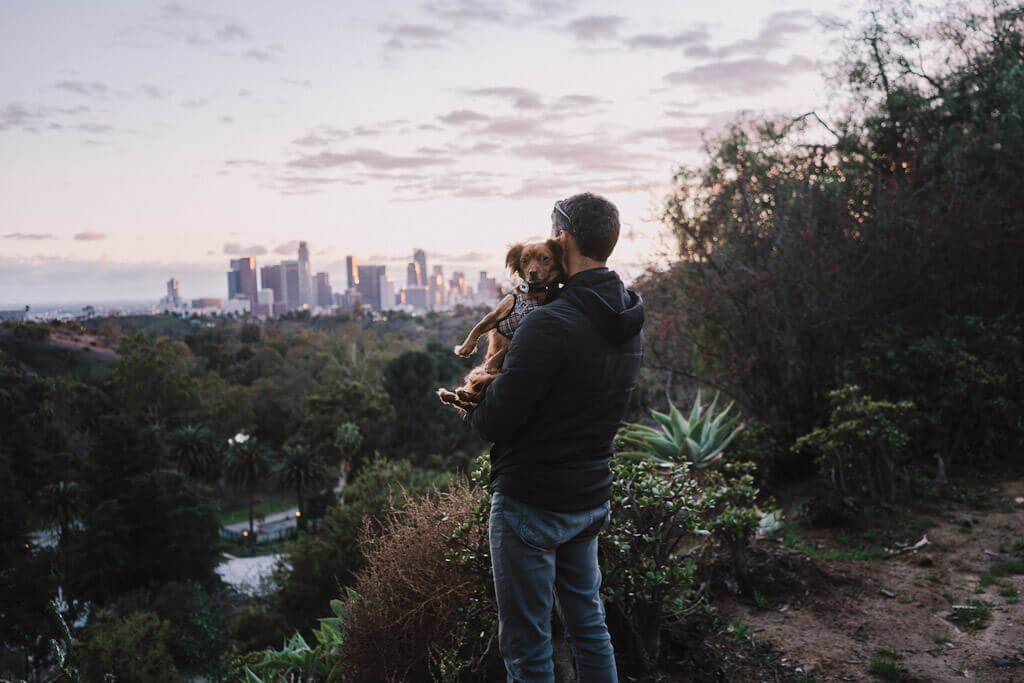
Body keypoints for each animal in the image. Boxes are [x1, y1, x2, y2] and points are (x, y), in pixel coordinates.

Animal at [436, 240, 565, 411]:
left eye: (545, 258)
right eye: (524, 260)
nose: (532, 272)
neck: (532, 293)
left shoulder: (524, 327)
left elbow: (504, 349)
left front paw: (491, 363)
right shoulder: (497, 313)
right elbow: (478, 327)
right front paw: (465, 349)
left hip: (493, 378)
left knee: (478, 397)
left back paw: (462, 394)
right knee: (470, 402)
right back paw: (450, 395)